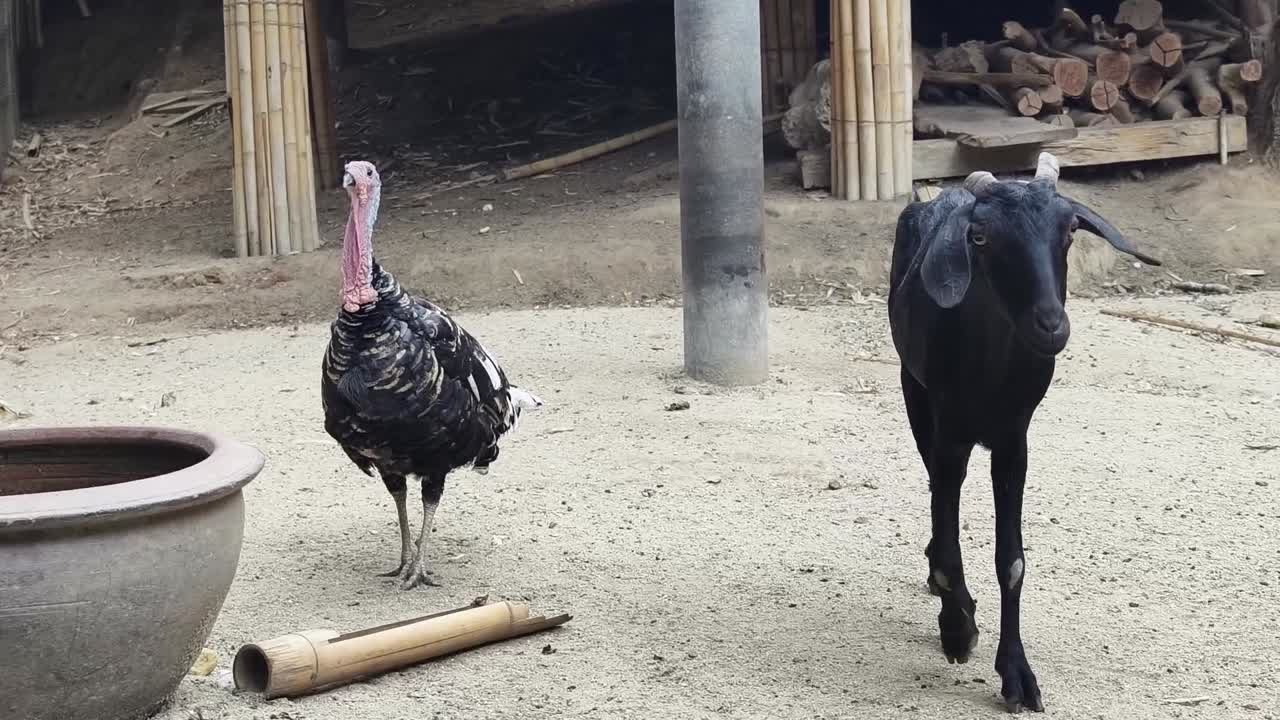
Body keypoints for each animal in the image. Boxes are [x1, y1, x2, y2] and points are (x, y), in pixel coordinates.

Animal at [886, 152, 1161, 713]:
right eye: (980, 237)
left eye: (1069, 232)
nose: (1050, 325)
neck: (990, 372)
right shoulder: (948, 431)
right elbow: (948, 536)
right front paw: (958, 631)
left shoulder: (1015, 441)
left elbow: (1011, 561)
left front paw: (1016, 674)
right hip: (913, 390)